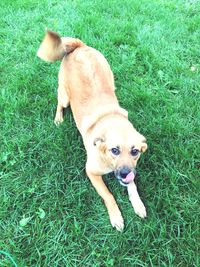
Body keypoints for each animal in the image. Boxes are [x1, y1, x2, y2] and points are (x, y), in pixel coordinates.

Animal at [37, 30, 147, 232]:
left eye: (135, 151)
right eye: (114, 150)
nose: (124, 173)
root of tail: (80, 46)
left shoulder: (130, 171)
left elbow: (132, 186)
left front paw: (138, 204)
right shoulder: (91, 172)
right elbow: (108, 195)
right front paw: (116, 217)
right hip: (65, 96)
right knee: (59, 103)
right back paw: (58, 119)